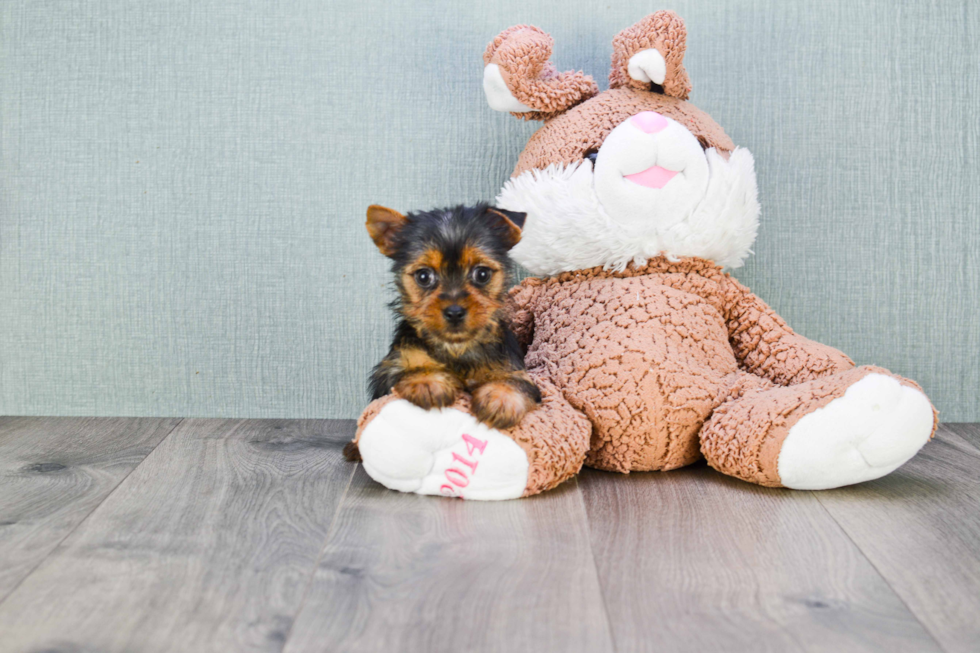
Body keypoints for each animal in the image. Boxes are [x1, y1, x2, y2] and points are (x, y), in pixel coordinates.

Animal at [364, 204, 540, 436]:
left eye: (482, 274)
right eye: (423, 276)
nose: (455, 312)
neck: (456, 348)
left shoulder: (514, 369)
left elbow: (517, 383)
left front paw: (501, 398)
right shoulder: (388, 372)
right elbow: (409, 369)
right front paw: (427, 381)